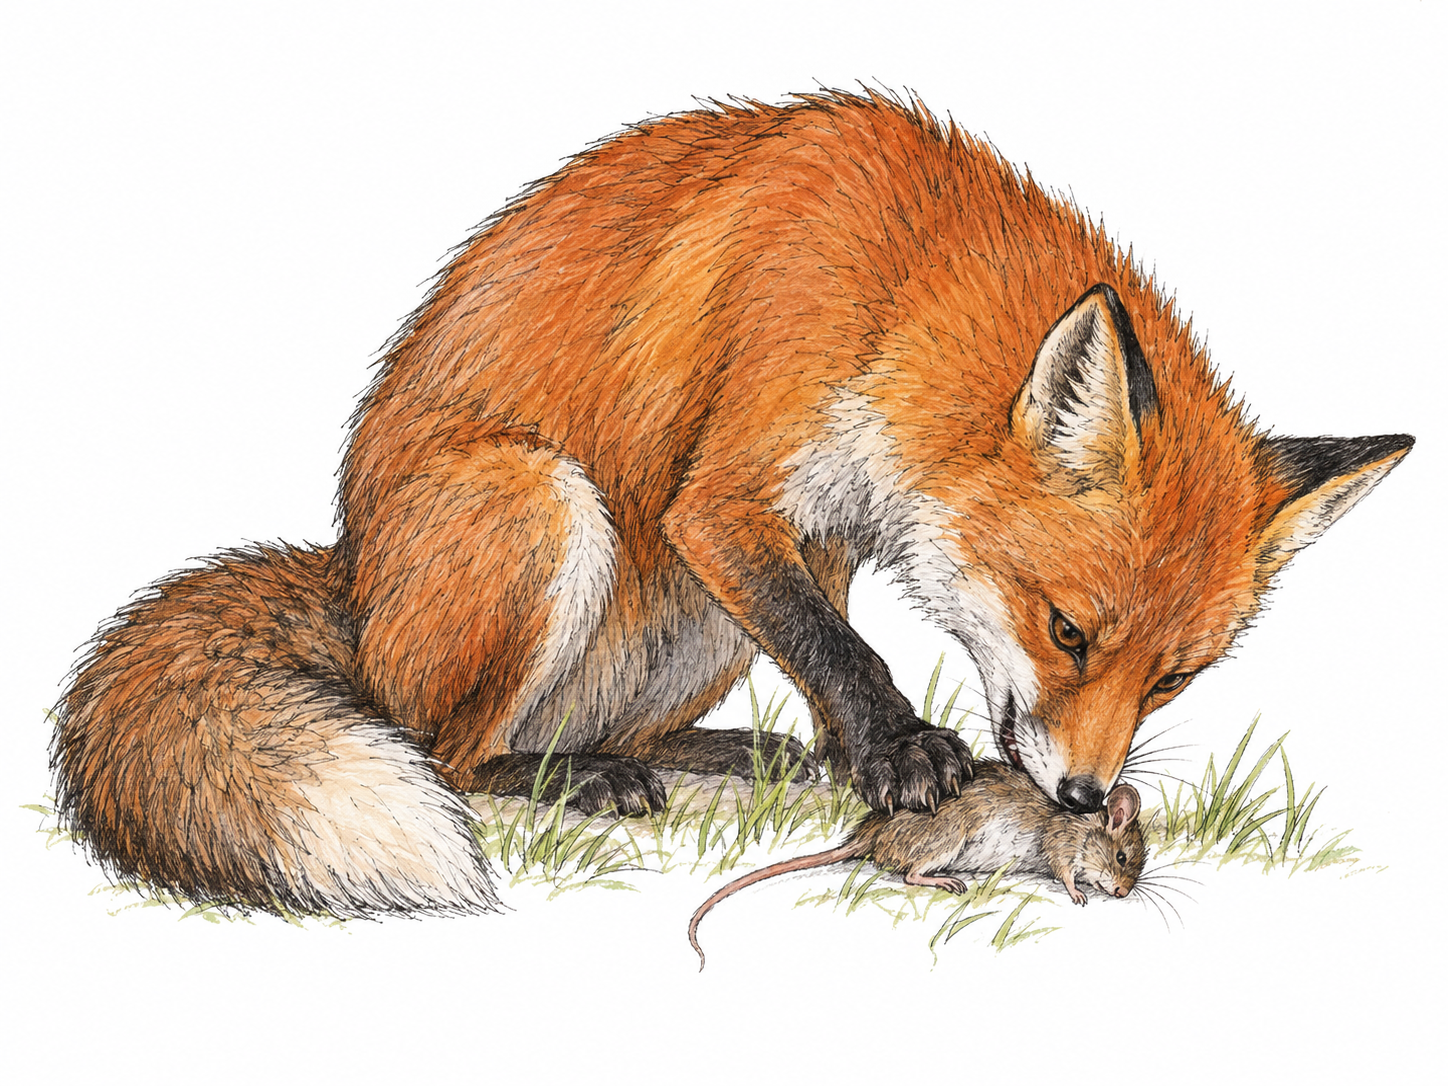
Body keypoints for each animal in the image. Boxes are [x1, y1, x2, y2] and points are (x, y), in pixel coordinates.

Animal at [53, 91, 1412, 917]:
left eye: (1171, 680)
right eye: (1067, 632)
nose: (1078, 797)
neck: (900, 280)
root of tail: (348, 586)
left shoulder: (821, 528)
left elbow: (823, 642)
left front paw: (860, 761)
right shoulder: (722, 494)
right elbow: (842, 649)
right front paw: (901, 754)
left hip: (692, 625)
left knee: (613, 725)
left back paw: (697, 752)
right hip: (543, 507)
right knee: (446, 749)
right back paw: (565, 779)